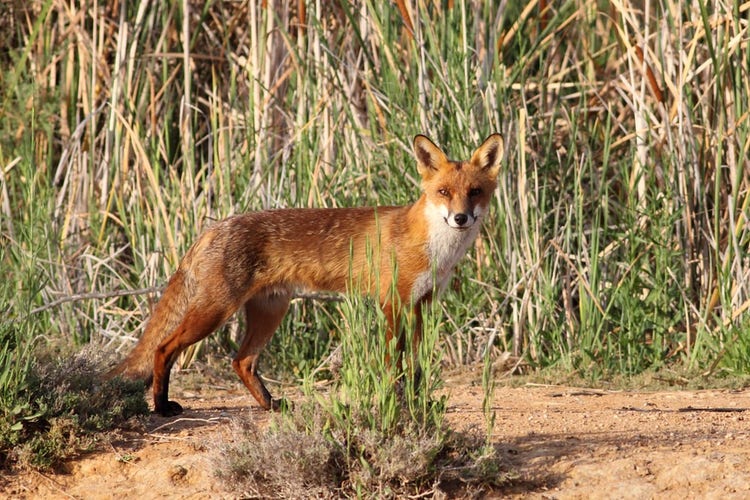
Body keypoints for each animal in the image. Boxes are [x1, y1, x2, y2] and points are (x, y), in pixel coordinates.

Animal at [108, 133, 504, 417]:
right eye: (443, 192)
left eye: (475, 192)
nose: (460, 218)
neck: (434, 250)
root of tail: (214, 227)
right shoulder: (393, 304)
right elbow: (395, 365)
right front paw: (396, 402)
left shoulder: (421, 306)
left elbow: (416, 367)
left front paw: (418, 402)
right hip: (214, 311)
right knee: (164, 348)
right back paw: (161, 407)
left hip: (270, 312)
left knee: (241, 361)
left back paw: (270, 405)